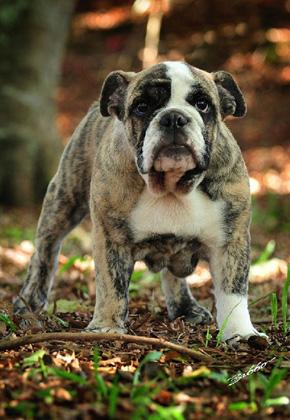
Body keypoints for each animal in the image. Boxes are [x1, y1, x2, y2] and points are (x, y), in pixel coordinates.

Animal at [14, 61, 266, 344]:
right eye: (142, 107)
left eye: (203, 104)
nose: (173, 117)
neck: (172, 186)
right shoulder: (111, 240)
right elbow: (111, 287)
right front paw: (106, 327)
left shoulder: (231, 241)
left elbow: (233, 291)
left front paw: (240, 332)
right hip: (63, 201)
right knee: (45, 252)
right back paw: (30, 301)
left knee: (173, 275)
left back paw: (185, 308)